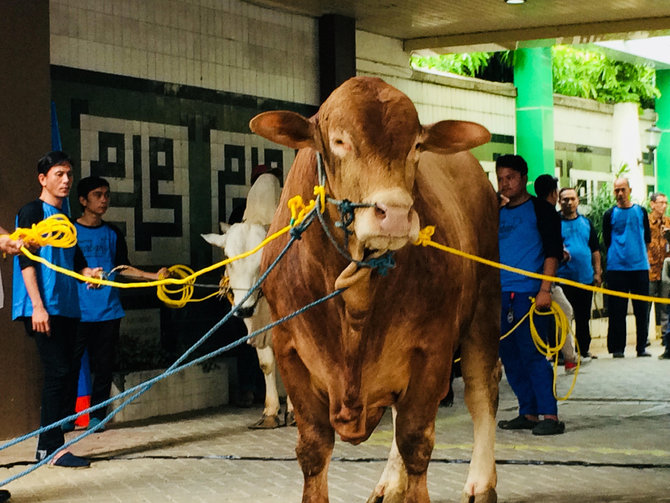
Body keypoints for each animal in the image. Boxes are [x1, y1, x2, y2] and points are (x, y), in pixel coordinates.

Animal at [251, 76, 498, 503]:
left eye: (416, 145)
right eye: (339, 141)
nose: (395, 213)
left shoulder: (432, 349)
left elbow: (416, 440)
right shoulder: (289, 349)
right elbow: (314, 447)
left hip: (484, 309)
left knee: (483, 390)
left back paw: (481, 483)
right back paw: (389, 486)